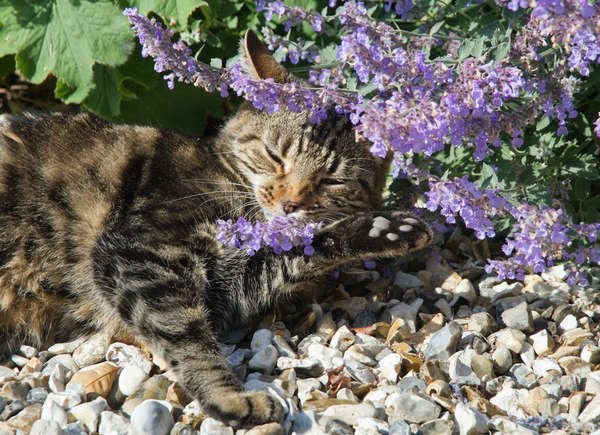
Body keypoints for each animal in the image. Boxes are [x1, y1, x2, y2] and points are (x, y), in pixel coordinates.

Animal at [0, 31, 432, 430]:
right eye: (275, 156)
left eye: (332, 180)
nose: (290, 204)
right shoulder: (139, 253)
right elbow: (187, 338)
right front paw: (231, 398)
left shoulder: (229, 285)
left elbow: (297, 251)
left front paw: (386, 228)